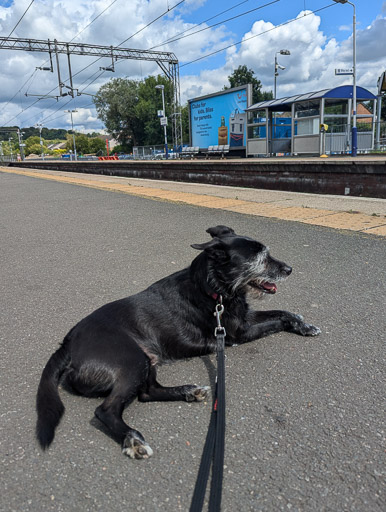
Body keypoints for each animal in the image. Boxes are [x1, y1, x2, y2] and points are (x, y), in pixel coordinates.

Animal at [36, 226, 320, 458]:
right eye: (259, 258)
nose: (289, 270)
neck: (212, 287)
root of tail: (67, 343)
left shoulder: (244, 317)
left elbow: (284, 313)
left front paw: (304, 325)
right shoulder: (238, 333)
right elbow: (278, 321)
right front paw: (302, 325)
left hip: (147, 360)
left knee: (148, 392)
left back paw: (188, 392)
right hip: (131, 361)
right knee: (105, 410)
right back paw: (133, 440)